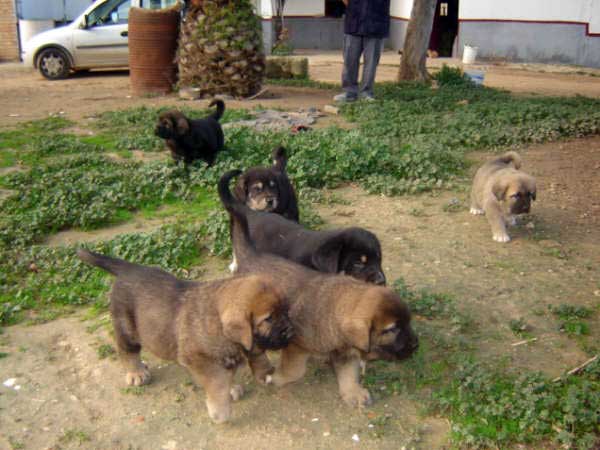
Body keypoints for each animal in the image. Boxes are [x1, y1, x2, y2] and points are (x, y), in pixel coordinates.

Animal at [76, 248, 292, 424]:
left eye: (284, 311)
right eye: (268, 319)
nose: (290, 330)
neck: (217, 321)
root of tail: (129, 268)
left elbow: (237, 366)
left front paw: (235, 386)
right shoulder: (202, 361)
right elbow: (217, 385)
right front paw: (220, 412)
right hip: (126, 326)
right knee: (127, 351)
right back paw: (136, 373)